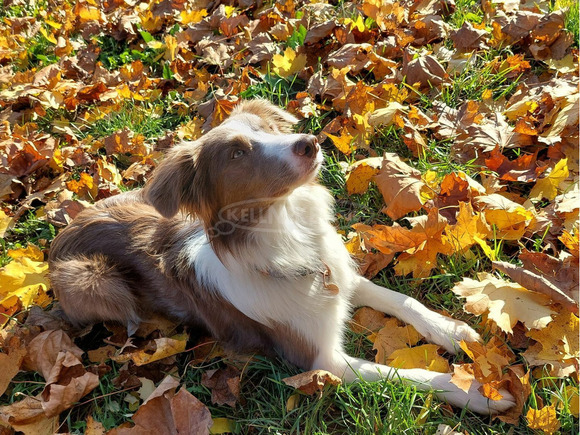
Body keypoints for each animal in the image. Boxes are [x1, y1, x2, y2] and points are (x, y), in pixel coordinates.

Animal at [48, 99, 512, 416]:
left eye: (269, 129)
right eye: (237, 153)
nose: (310, 142)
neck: (290, 233)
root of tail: (62, 235)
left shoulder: (342, 275)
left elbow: (404, 300)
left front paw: (451, 330)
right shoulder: (321, 360)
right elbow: (405, 375)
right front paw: (476, 392)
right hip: (90, 279)